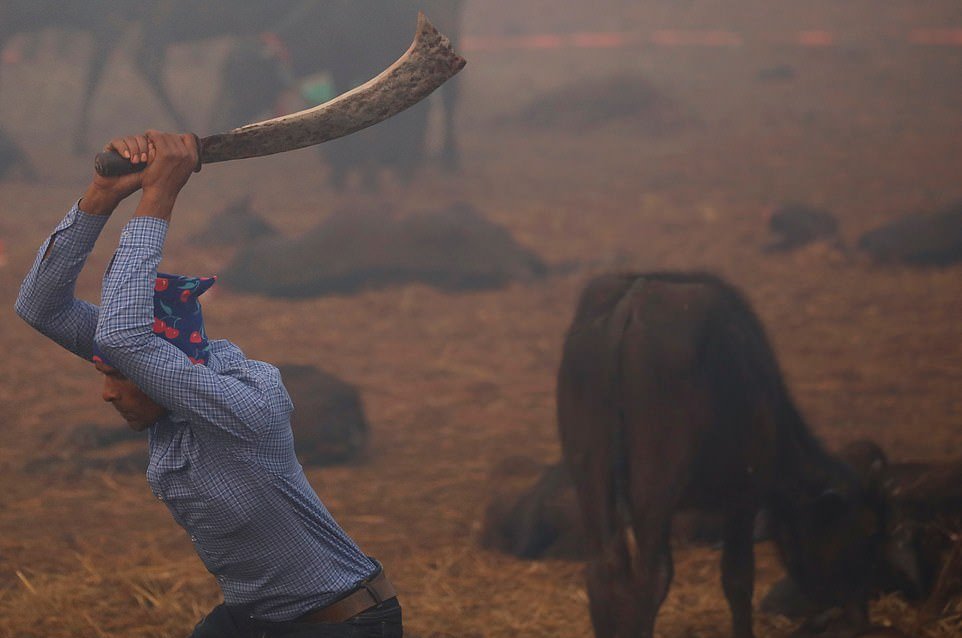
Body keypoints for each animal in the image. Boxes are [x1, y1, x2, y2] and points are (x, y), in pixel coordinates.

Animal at [556, 274, 884, 638]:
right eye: (866, 531)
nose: (862, 609)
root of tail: (632, 300)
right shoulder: (744, 495)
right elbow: (737, 579)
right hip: (654, 485)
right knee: (647, 575)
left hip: (589, 476)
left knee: (604, 570)